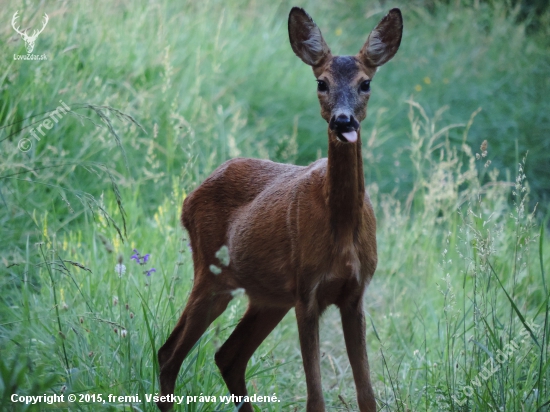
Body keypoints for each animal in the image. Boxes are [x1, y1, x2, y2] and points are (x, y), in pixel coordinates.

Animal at [157, 7, 404, 412]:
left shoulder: (354, 294)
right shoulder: (307, 291)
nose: (343, 120)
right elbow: (315, 397)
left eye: (366, 83)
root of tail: (188, 199)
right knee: (169, 353)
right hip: (211, 274)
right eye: (321, 82)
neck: (342, 229)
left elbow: (367, 395)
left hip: (267, 296)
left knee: (227, 355)